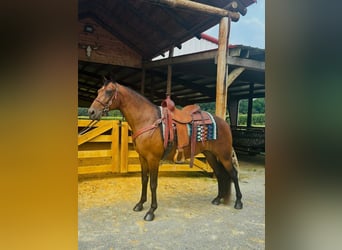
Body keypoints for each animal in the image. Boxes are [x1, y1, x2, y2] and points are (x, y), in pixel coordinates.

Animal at [88, 79, 243, 221]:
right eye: (98, 91)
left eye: (109, 91)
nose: (91, 112)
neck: (148, 120)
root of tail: (224, 123)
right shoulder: (142, 158)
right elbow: (144, 180)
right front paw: (140, 204)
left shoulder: (153, 159)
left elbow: (153, 184)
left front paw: (151, 211)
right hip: (210, 154)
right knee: (220, 174)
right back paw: (218, 199)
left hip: (224, 155)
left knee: (233, 174)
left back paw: (238, 202)